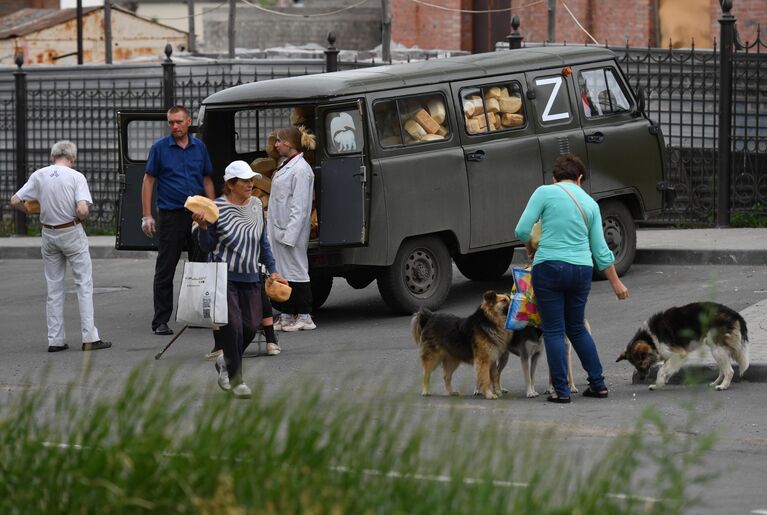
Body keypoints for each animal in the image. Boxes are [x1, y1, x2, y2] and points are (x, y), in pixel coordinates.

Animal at [616, 302, 752, 392]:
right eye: (634, 365)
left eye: (640, 363)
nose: (641, 378)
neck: (651, 339)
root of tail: (734, 313)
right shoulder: (670, 357)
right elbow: (666, 369)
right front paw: (661, 383)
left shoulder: (679, 354)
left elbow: (661, 370)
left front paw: (658, 383)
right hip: (717, 350)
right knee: (723, 370)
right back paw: (715, 383)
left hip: (717, 350)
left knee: (729, 371)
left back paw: (723, 386)